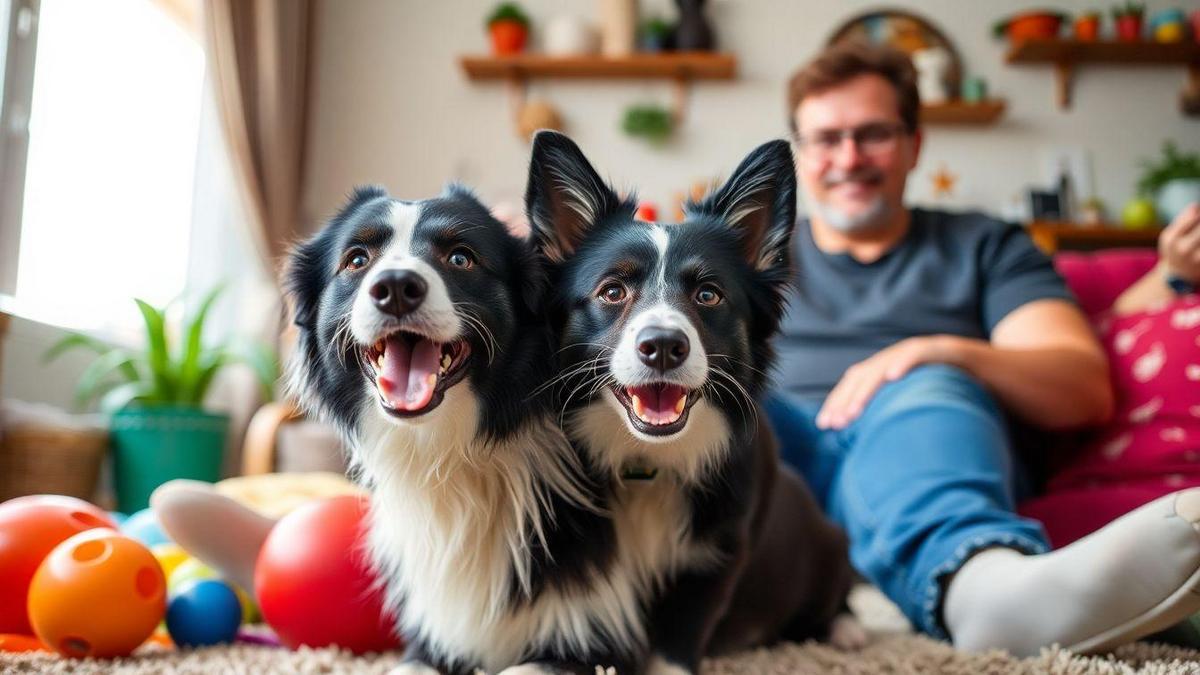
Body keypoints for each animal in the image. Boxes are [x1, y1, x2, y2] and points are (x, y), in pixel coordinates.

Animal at [530, 131, 859, 672]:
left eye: (708, 295)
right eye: (612, 291)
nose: (663, 346)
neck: (649, 462)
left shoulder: (713, 564)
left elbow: (673, 647)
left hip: (831, 543)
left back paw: (846, 630)